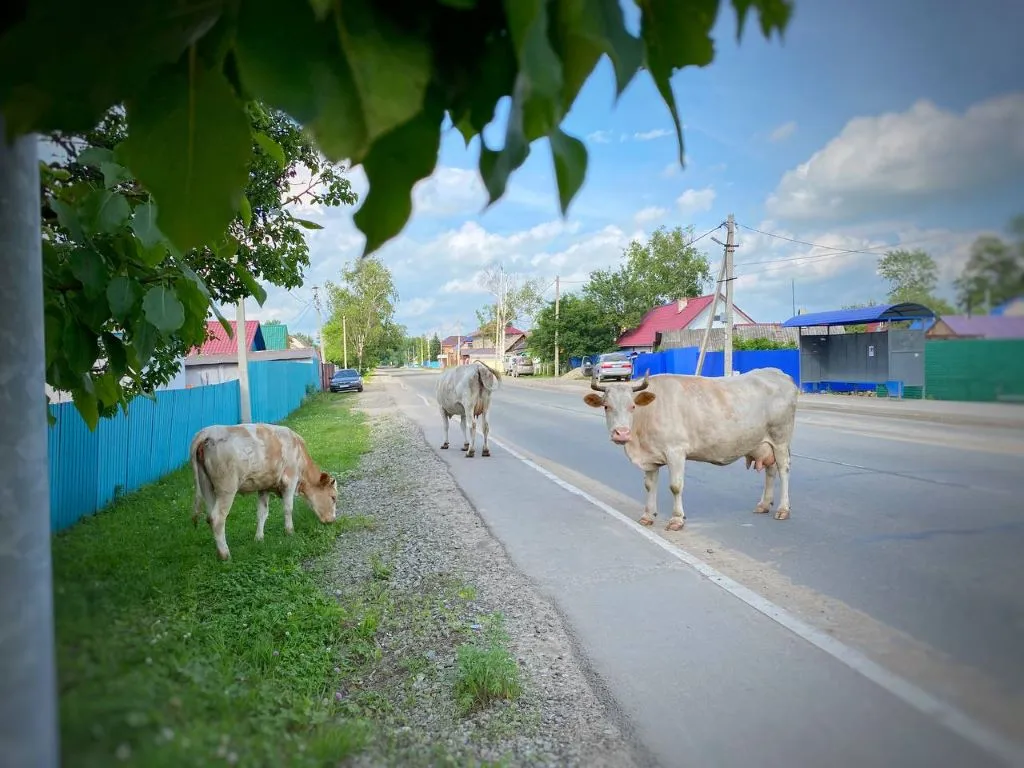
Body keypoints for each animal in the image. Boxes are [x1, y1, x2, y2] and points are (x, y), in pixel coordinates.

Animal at [188, 423, 339, 561]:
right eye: (333, 497)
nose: (332, 520)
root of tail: (208, 432)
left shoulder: (264, 486)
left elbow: (262, 513)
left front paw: (259, 538)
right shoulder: (290, 480)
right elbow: (288, 508)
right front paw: (290, 532)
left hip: (206, 486)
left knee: (209, 516)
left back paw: (219, 553)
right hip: (227, 488)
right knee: (217, 518)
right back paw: (225, 555)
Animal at [585, 370, 798, 532]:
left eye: (632, 406)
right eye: (606, 406)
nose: (621, 433)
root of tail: (778, 373)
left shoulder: (676, 451)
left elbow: (675, 486)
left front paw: (677, 519)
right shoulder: (651, 457)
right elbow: (649, 485)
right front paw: (647, 515)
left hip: (780, 438)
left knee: (783, 470)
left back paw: (783, 509)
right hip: (765, 443)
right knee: (770, 471)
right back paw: (764, 504)